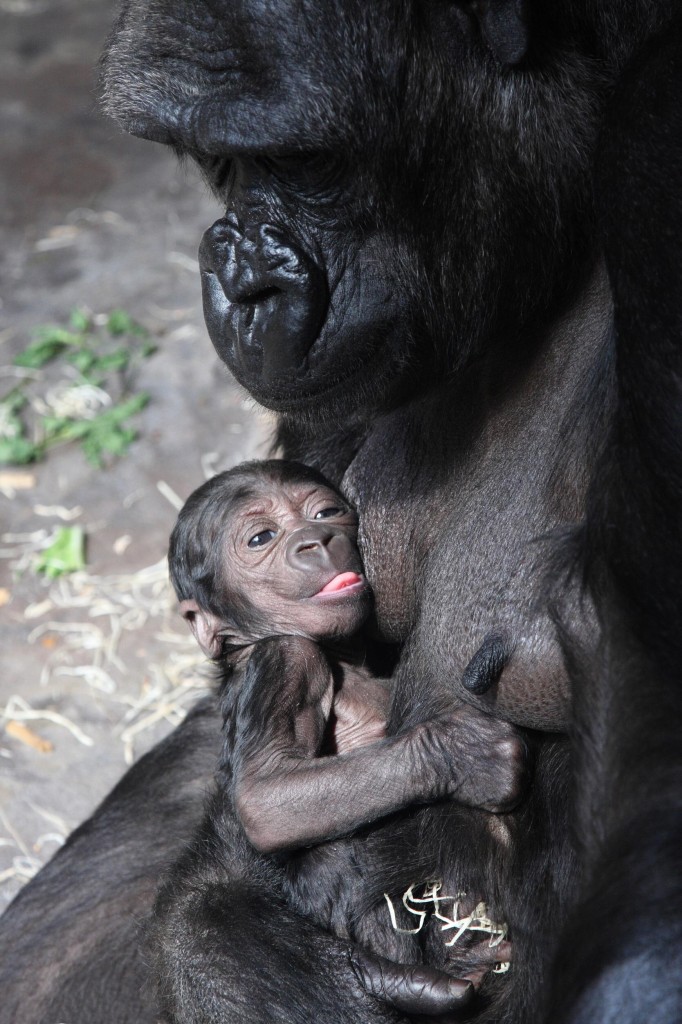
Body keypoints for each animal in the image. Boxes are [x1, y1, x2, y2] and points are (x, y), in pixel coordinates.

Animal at [165, 462, 520, 1015]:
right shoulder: (288, 658)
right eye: (260, 538)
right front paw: (466, 755)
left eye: (326, 512)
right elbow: (265, 798)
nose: (315, 541)